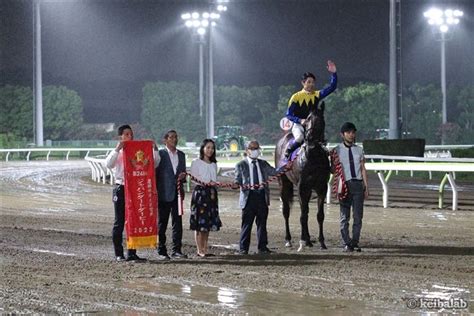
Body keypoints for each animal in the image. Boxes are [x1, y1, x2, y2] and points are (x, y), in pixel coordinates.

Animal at [274, 103, 330, 252]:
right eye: (308, 118)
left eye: (321, 120)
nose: (310, 138)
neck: (313, 156)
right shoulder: (301, 187)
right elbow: (303, 215)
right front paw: (303, 240)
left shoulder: (321, 187)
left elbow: (319, 215)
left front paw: (321, 242)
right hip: (283, 183)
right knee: (286, 211)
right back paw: (288, 240)